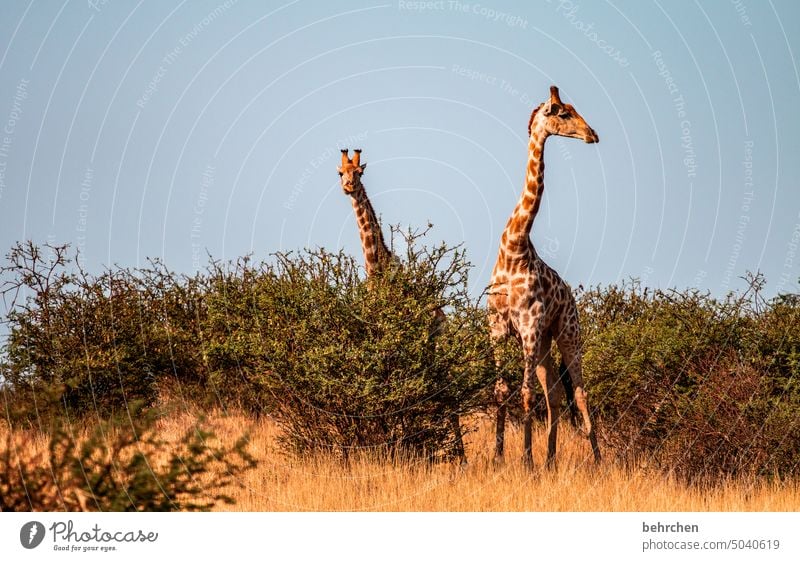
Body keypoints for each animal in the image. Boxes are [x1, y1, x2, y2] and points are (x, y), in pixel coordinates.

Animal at [334, 148, 466, 460]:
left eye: (359, 173)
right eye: (340, 172)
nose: (348, 187)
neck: (377, 268)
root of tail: (443, 320)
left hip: (431, 350)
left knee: (446, 396)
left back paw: (460, 457)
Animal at [488, 85, 600, 466]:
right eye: (563, 113)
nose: (592, 134)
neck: (514, 249)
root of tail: (572, 300)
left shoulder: (530, 327)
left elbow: (525, 394)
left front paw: (525, 461)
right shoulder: (499, 329)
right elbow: (502, 390)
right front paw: (499, 458)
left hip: (567, 335)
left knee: (579, 393)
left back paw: (596, 459)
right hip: (546, 346)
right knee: (554, 394)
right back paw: (550, 459)